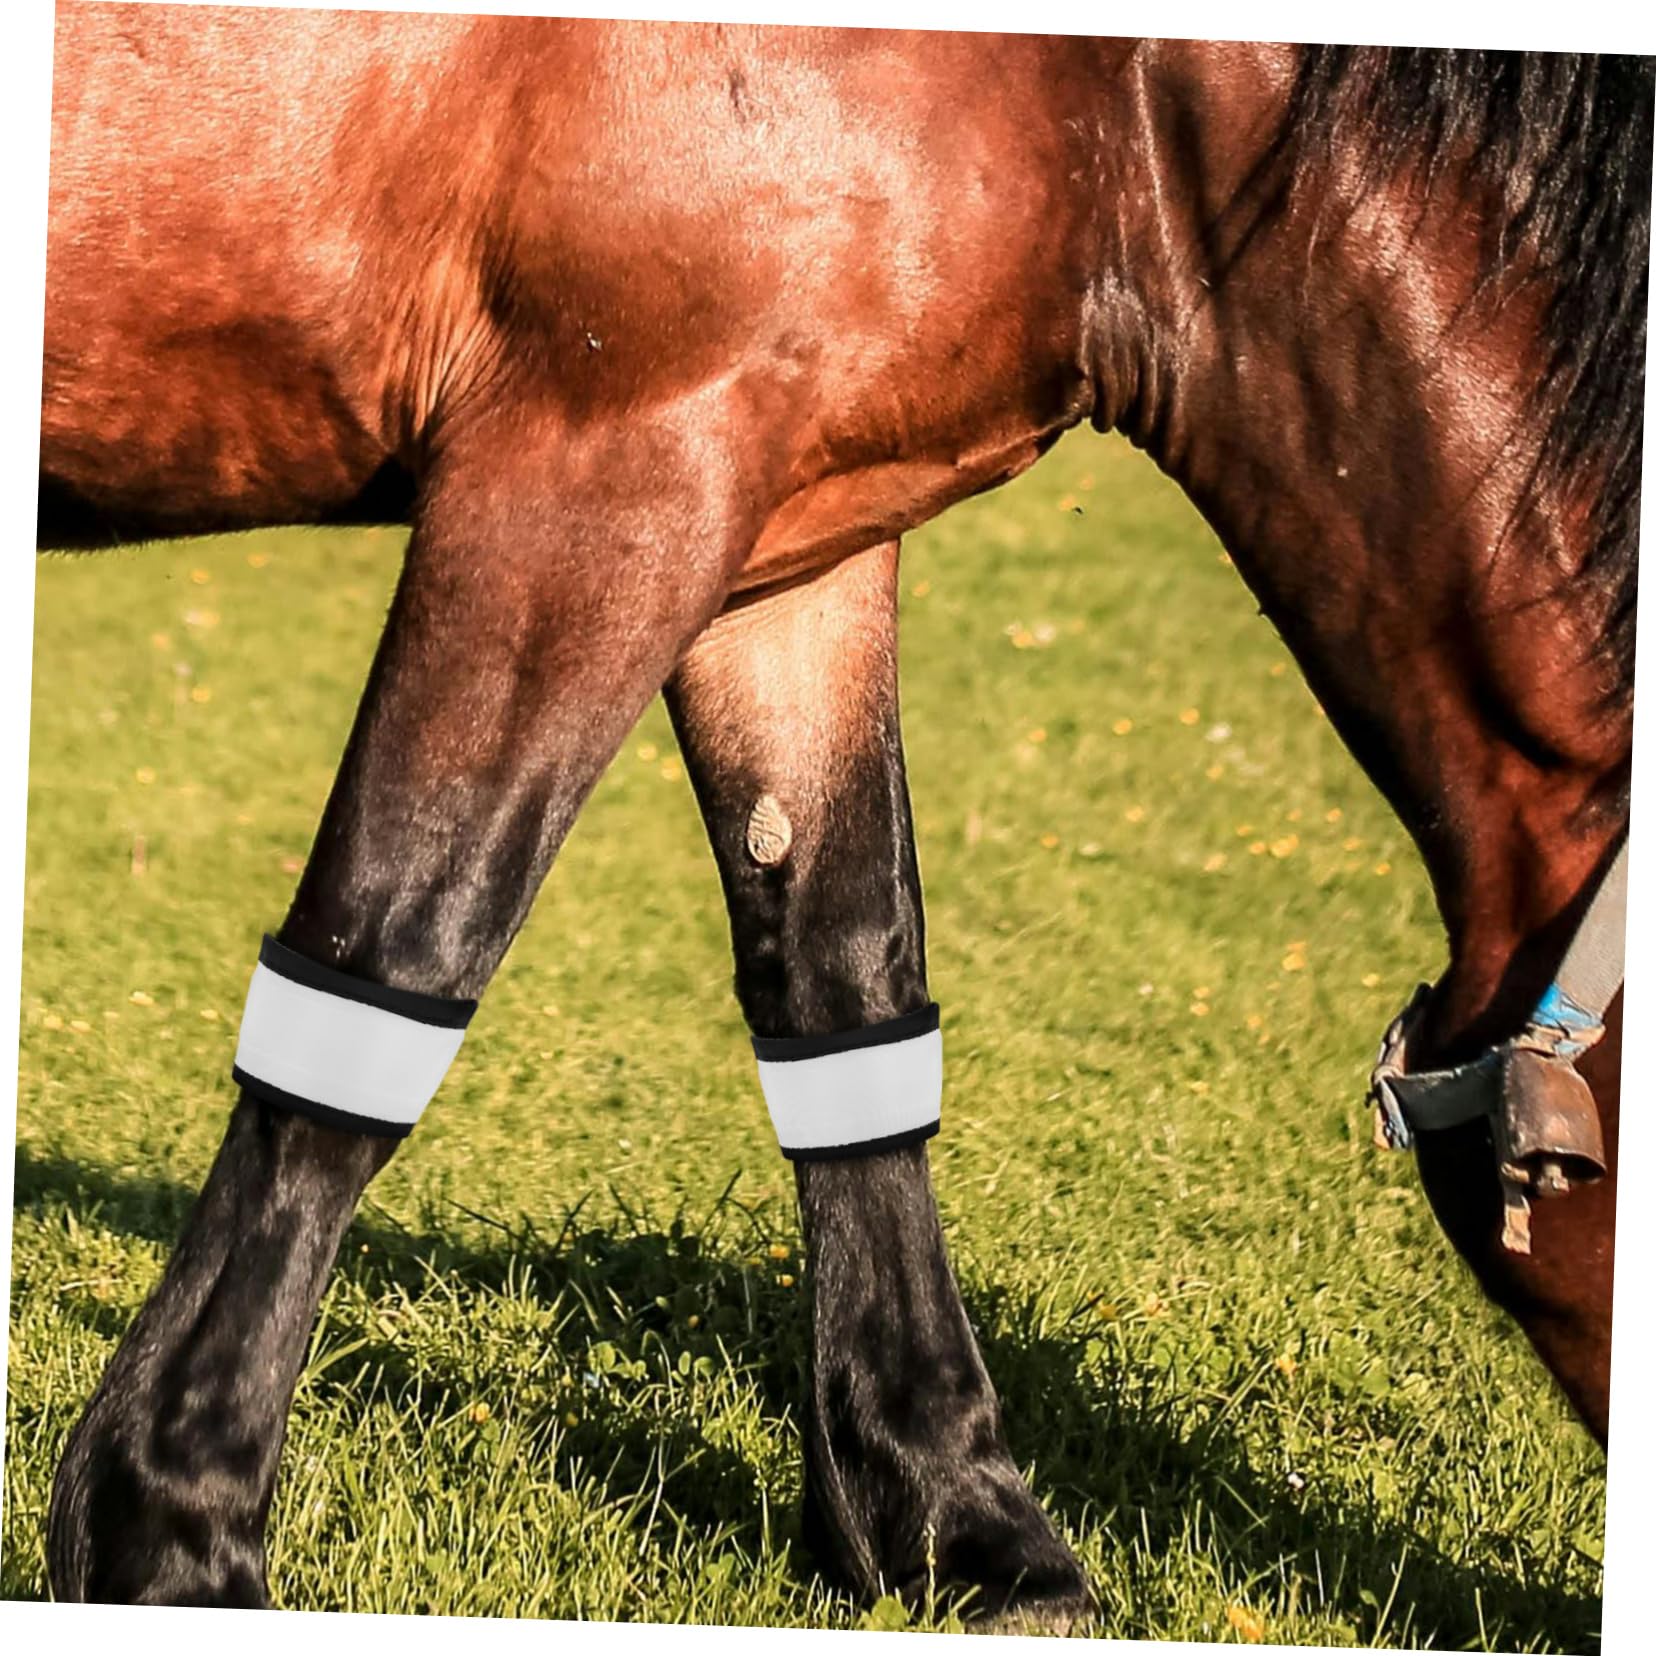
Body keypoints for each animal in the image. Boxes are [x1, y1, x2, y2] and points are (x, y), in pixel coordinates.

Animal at [37, 4, 1650, 1625]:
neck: (1120, 102)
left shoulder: (793, 537)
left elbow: (848, 991)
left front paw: (957, 1515)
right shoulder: (599, 468)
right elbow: (391, 959)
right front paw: (169, 1530)